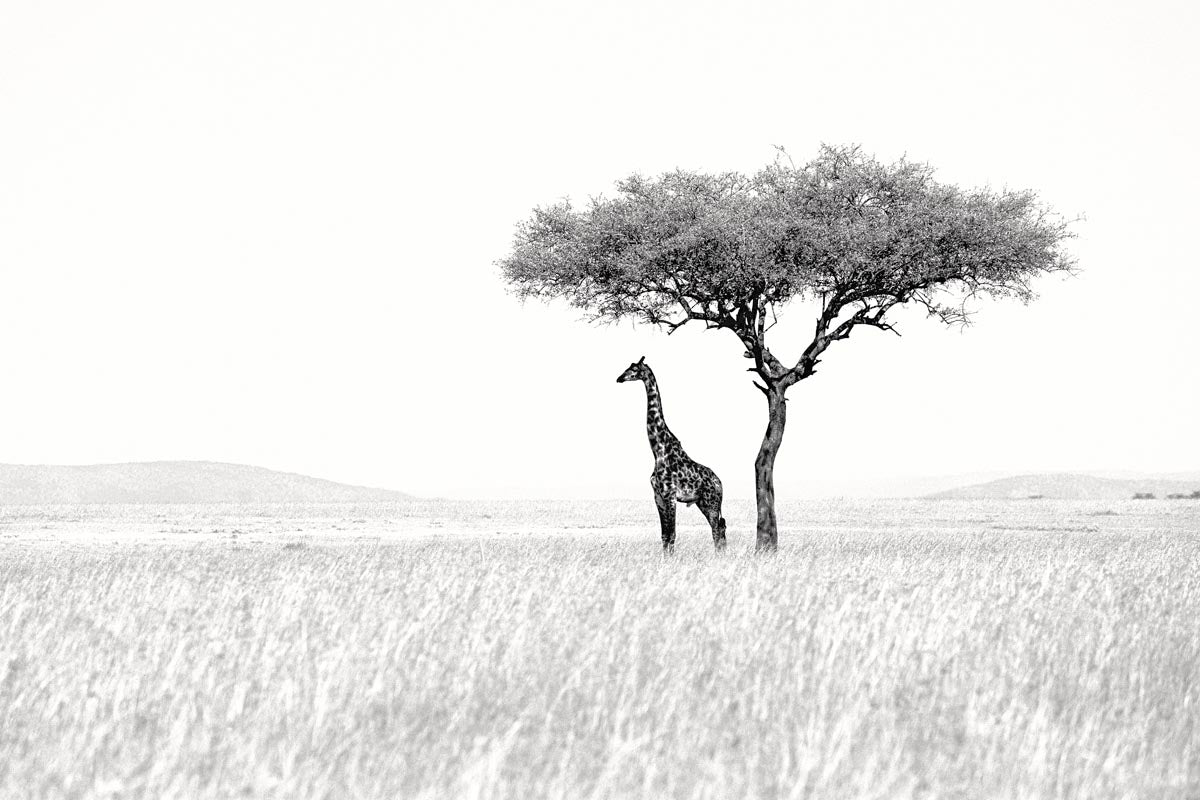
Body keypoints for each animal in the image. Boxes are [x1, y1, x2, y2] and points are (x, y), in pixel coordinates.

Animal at [616, 357, 727, 553]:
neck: (658, 450)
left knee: (717, 530)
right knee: (720, 529)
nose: (619, 378)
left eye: (634, 369)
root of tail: (720, 483)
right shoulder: (658, 496)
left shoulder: (670, 495)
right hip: (703, 503)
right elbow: (664, 536)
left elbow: (672, 535)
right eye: (628, 367)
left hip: (711, 502)